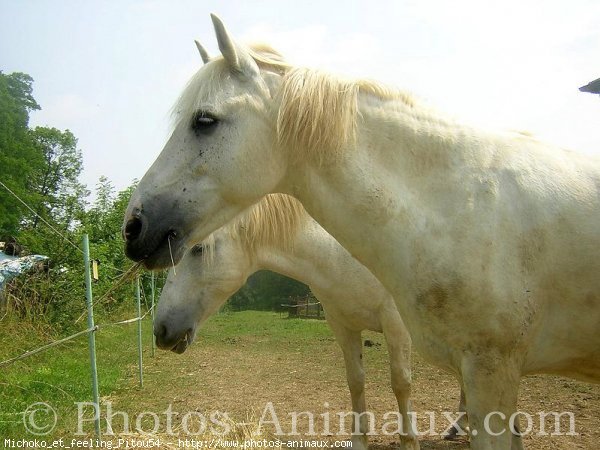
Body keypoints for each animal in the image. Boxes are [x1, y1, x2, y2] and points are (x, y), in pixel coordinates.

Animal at [155, 194, 422, 450]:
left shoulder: (396, 324)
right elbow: (356, 381)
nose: (160, 330)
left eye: (198, 249)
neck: (342, 254)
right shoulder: (343, 325)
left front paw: (409, 442)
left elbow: (401, 383)